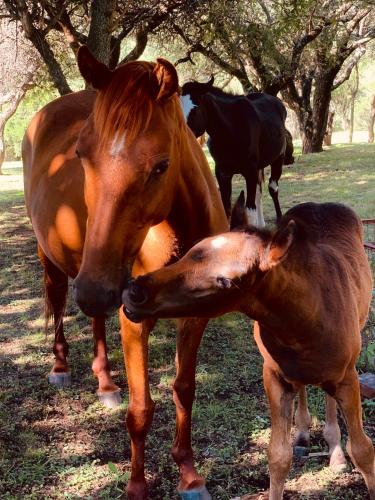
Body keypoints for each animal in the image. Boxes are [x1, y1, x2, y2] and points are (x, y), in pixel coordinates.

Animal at [24, 46, 229, 496]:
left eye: (161, 166)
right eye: (82, 154)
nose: (95, 289)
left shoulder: (195, 317)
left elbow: (183, 391)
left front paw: (189, 474)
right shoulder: (134, 319)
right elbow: (140, 410)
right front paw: (136, 487)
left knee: (96, 319)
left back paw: (105, 382)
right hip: (62, 262)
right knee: (59, 299)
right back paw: (61, 367)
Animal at [125, 201, 374, 498]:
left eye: (226, 281)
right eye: (191, 252)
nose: (135, 292)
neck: (307, 316)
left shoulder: (348, 377)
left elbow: (363, 450)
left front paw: (341, 452)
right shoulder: (274, 376)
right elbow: (278, 456)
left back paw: (334, 451)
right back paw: (303, 433)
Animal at [181, 77, 292, 226]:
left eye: (194, 109)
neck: (231, 129)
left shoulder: (250, 170)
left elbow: (249, 210)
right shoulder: (222, 173)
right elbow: (226, 209)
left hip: (277, 159)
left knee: (272, 188)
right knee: (259, 191)